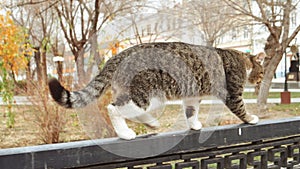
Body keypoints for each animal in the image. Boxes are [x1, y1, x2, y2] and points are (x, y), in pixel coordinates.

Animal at [48, 42, 264, 140]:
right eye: (261, 72)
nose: (261, 81)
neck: (242, 59)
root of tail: (118, 56)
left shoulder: (192, 97)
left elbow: (191, 112)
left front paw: (194, 125)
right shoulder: (232, 94)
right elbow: (241, 108)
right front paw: (251, 118)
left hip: (150, 98)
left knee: (133, 112)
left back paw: (151, 123)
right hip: (142, 96)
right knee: (113, 108)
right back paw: (125, 133)